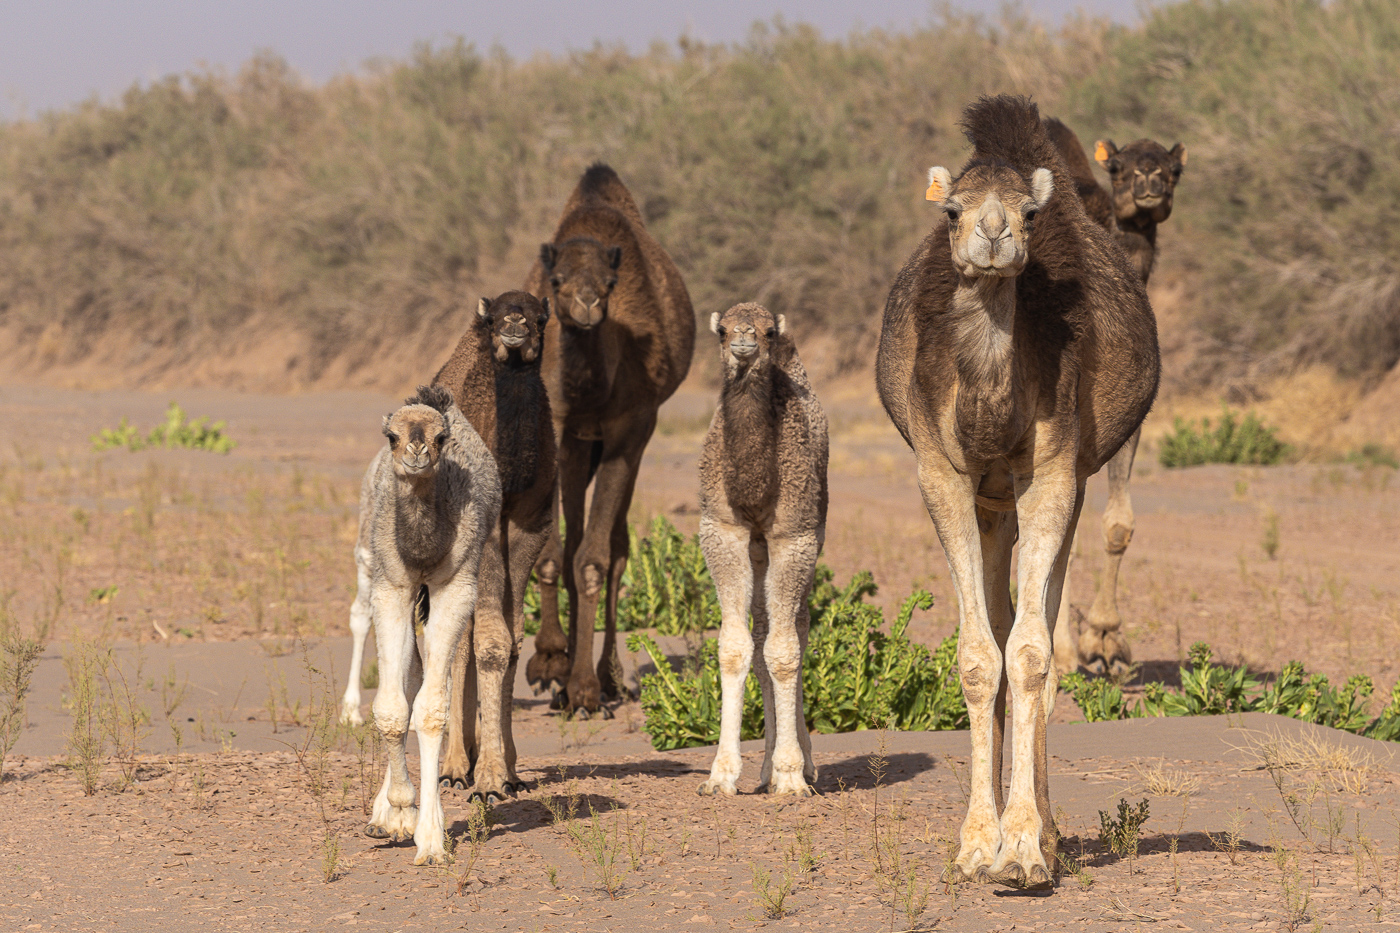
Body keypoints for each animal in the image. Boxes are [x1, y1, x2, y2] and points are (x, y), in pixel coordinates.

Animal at [359, 386, 501, 865]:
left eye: (441, 437)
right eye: (391, 436)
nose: (417, 451)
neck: (423, 548)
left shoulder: (455, 587)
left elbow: (432, 709)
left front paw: (431, 838)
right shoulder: (392, 585)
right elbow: (390, 708)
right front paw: (399, 811)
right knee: (407, 680)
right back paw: (383, 814)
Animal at [524, 163, 695, 716]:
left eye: (610, 281)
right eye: (556, 280)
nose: (587, 303)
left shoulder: (631, 425)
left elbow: (596, 560)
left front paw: (581, 686)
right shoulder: (557, 420)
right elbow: (554, 552)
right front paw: (549, 661)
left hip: (625, 439)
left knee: (615, 548)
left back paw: (607, 680)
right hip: (580, 442)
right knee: (576, 538)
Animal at [696, 303, 827, 798]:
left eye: (769, 331)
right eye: (721, 330)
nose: (744, 340)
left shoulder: (795, 535)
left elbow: (785, 652)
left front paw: (792, 776)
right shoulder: (723, 529)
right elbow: (735, 648)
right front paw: (720, 775)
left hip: (815, 531)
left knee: (795, 628)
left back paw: (798, 766)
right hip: (756, 548)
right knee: (761, 630)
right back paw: (767, 767)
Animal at [875, 96, 1158, 887]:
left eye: (1031, 213)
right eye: (952, 211)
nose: (995, 233)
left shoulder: (1056, 469)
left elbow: (1031, 654)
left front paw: (1025, 847)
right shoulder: (941, 472)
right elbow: (980, 657)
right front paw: (977, 843)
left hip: (1054, 488)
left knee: (1036, 633)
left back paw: (1051, 835)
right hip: (990, 501)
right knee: (998, 624)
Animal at [1044, 118, 1187, 674]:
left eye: (1174, 168)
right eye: (1120, 167)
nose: (1149, 180)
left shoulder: (1128, 419)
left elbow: (1118, 524)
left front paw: (1105, 638)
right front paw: (1068, 651)